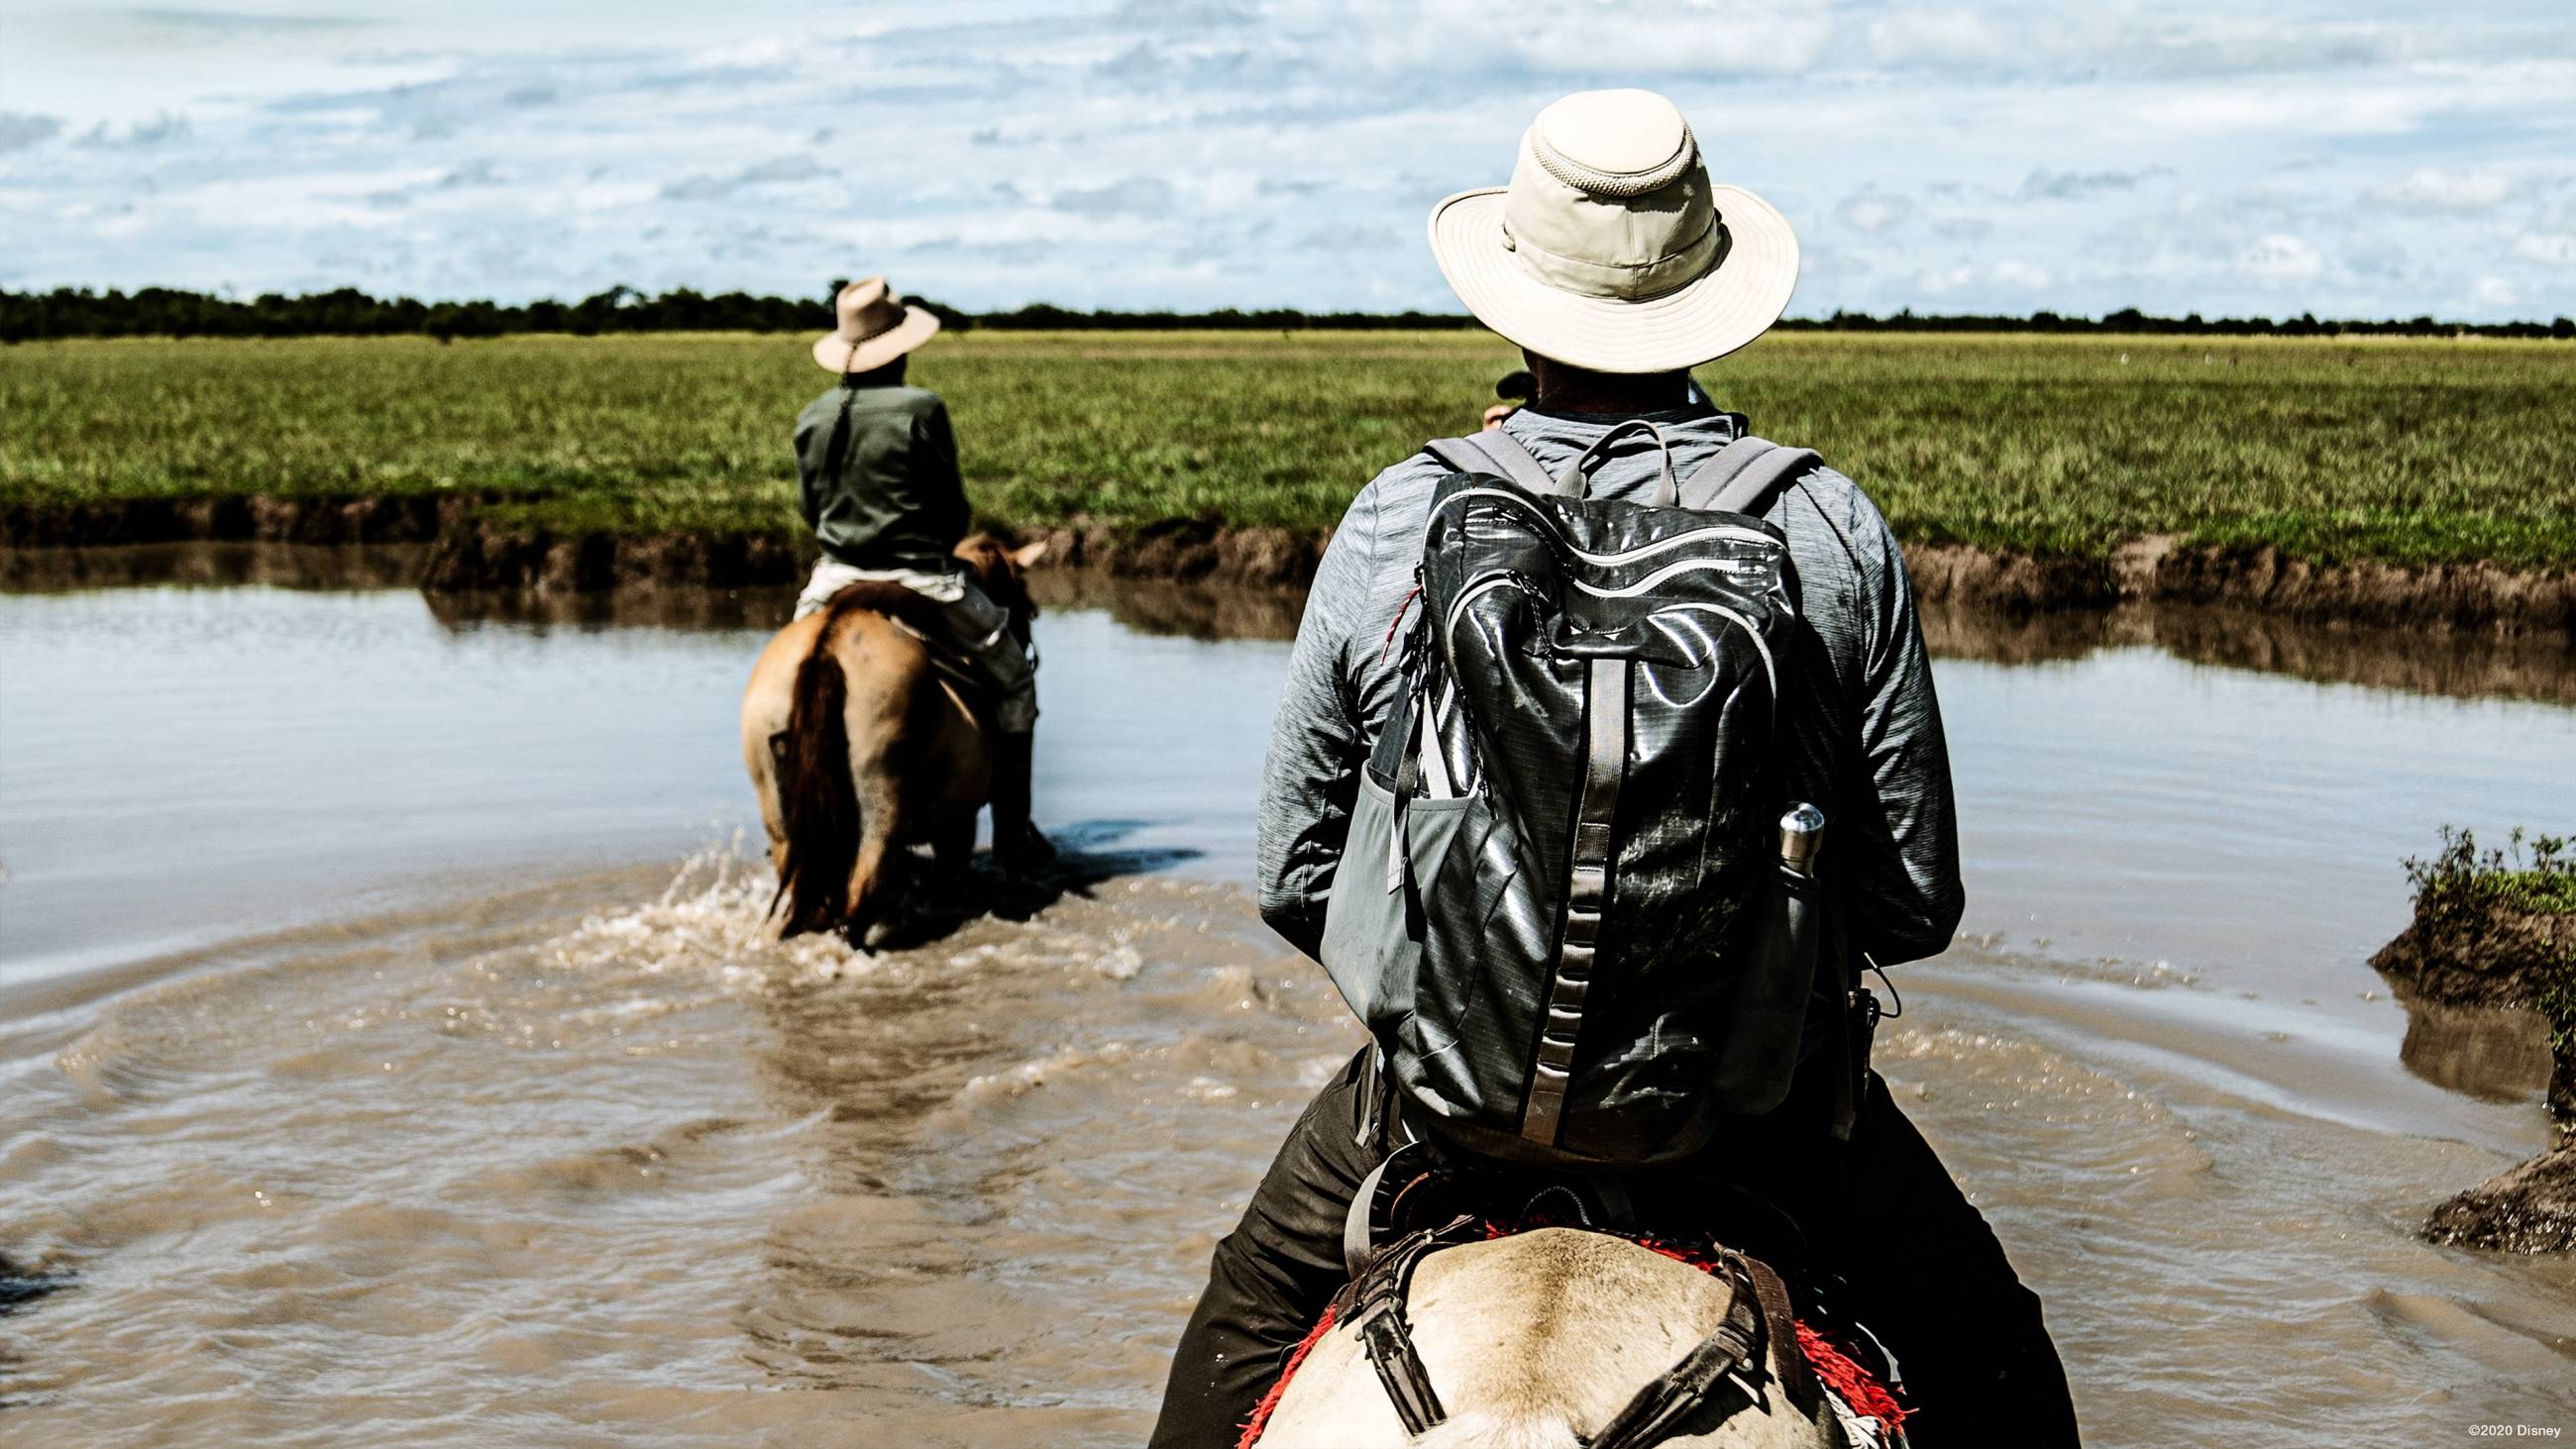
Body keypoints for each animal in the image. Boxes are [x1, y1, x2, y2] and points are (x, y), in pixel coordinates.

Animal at [741, 535, 1040, 942]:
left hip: (779, 803)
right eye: (1025, 604)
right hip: (880, 800)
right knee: (859, 898)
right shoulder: (957, 823)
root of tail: (828, 646)